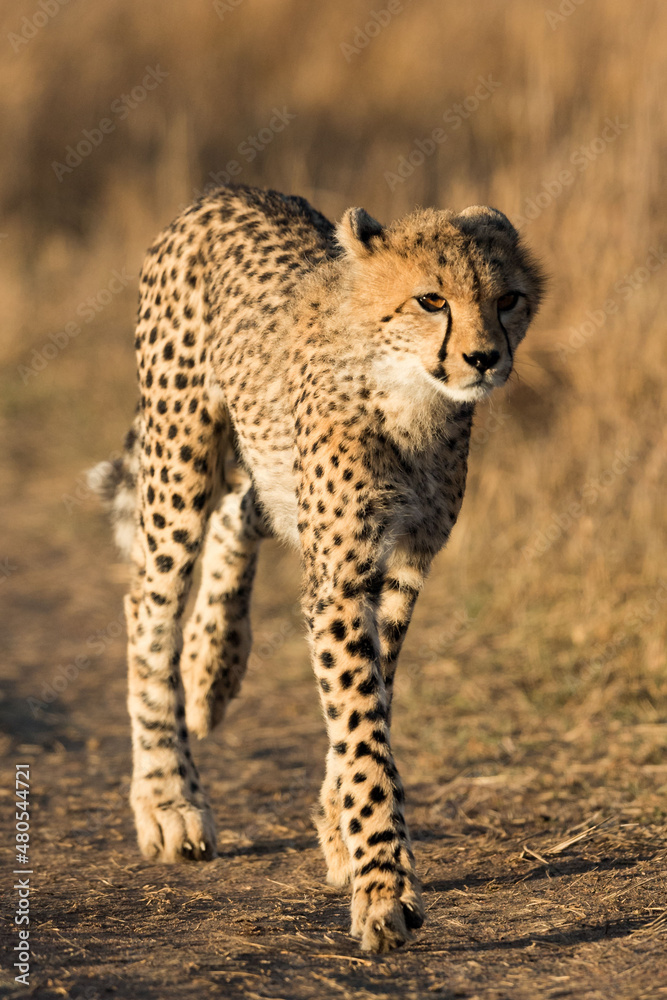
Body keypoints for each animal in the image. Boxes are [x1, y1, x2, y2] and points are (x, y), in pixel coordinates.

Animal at [89, 182, 545, 953]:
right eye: (432, 300)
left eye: (507, 297)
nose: (484, 358)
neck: (410, 397)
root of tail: (228, 191)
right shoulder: (341, 578)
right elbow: (361, 726)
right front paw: (382, 888)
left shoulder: (401, 571)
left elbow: (373, 700)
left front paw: (341, 832)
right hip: (179, 452)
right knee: (148, 604)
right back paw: (168, 796)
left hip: (263, 464)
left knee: (239, 510)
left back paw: (212, 668)